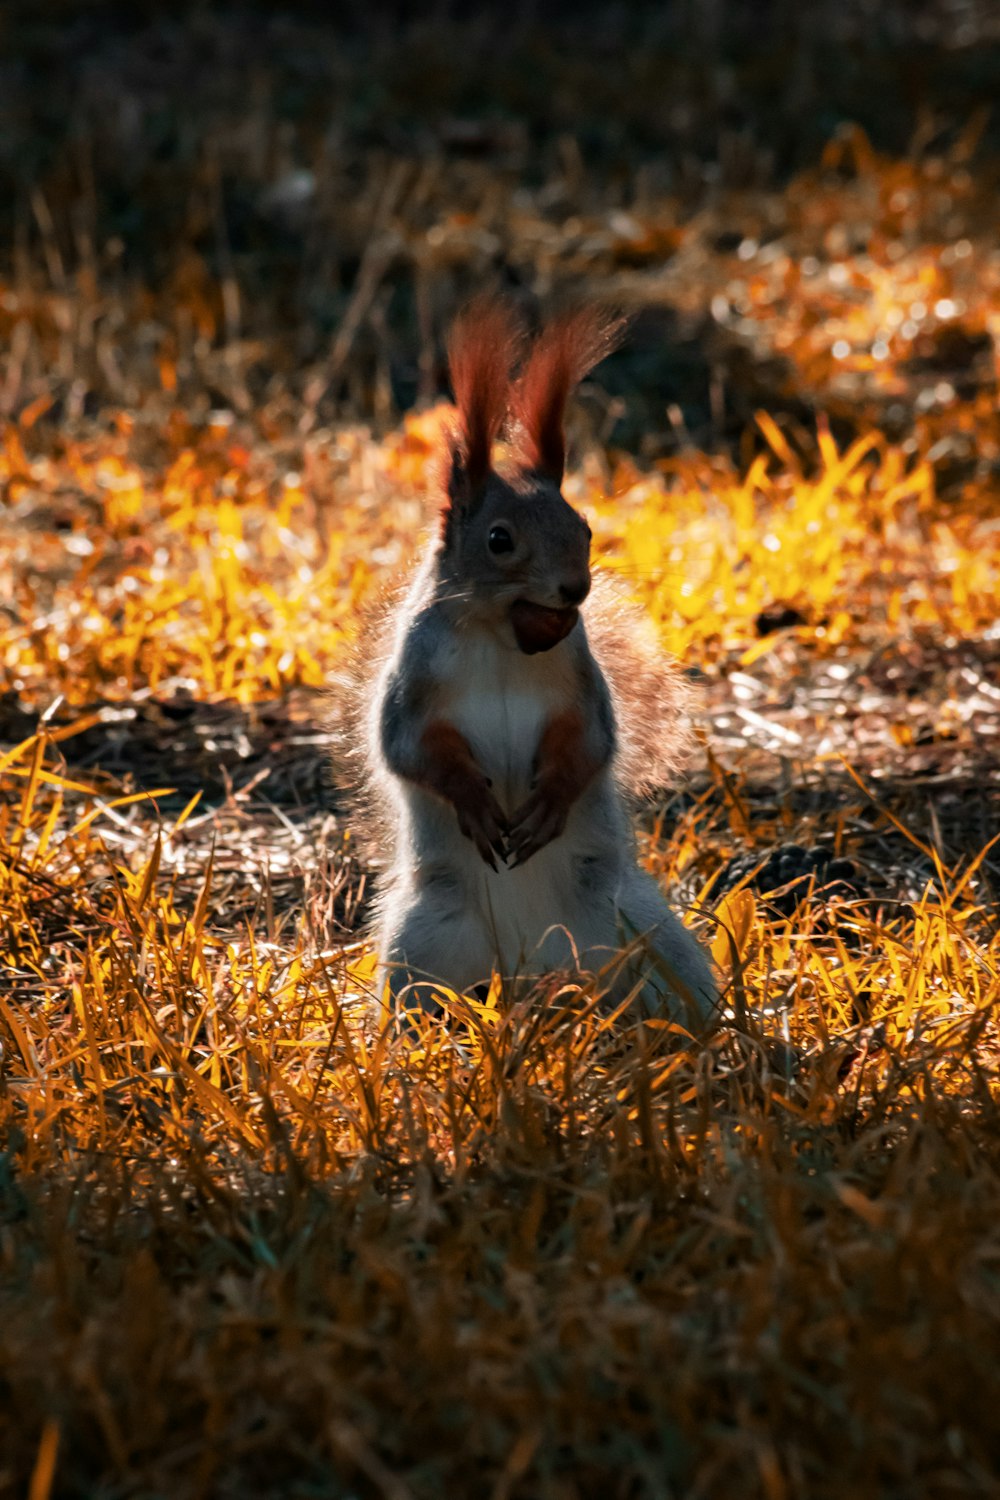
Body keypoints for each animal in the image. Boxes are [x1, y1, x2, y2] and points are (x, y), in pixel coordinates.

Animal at [359, 301, 719, 1032]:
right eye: (499, 540)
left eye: (584, 528)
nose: (574, 590)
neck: (501, 638)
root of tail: (531, 966)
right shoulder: (413, 686)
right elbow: (410, 751)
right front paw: (473, 799)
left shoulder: (577, 687)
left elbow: (586, 747)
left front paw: (548, 804)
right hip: (422, 946)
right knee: (418, 1003)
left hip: (640, 933)